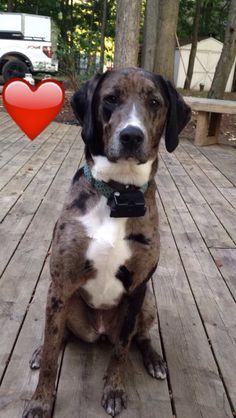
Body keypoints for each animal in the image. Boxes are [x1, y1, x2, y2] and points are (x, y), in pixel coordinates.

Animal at [23, 68, 191, 418]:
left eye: (154, 102)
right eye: (111, 99)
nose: (132, 136)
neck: (118, 194)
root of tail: (98, 331)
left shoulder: (137, 288)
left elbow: (122, 349)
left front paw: (114, 390)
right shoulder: (61, 283)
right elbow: (51, 355)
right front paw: (40, 401)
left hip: (148, 304)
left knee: (140, 337)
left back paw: (154, 359)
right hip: (62, 300)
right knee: (57, 335)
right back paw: (41, 349)